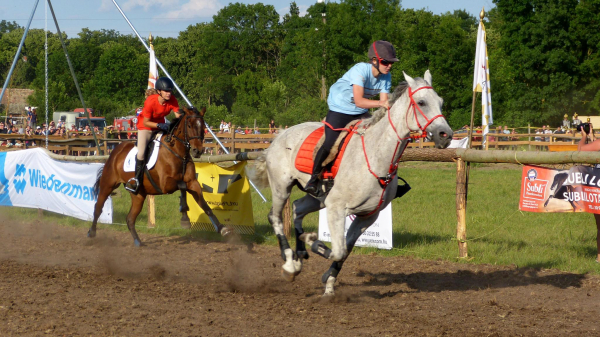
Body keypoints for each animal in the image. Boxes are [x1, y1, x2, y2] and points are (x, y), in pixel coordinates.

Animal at [89, 106, 230, 245]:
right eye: (189, 126)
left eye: (203, 126)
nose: (198, 151)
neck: (179, 153)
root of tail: (115, 151)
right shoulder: (165, 184)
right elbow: (182, 185)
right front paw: (184, 218)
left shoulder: (192, 183)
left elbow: (204, 204)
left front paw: (222, 228)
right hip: (108, 184)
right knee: (98, 207)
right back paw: (91, 233)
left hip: (138, 195)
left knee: (130, 218)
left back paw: (138, 242)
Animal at [251, 70, 452, 294]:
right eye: (422, 102)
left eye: (441, 102)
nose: (446, 135)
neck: (376, 156)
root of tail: (278, 136)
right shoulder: (336, 208)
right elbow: (337, 250)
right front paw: (314, 243)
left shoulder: (367, 216)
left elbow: (344, 252)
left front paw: (329, 284)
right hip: (282, 187)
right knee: (275, 217)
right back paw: (290, 263)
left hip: (318, 198)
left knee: (297, 208)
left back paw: (300, 255)